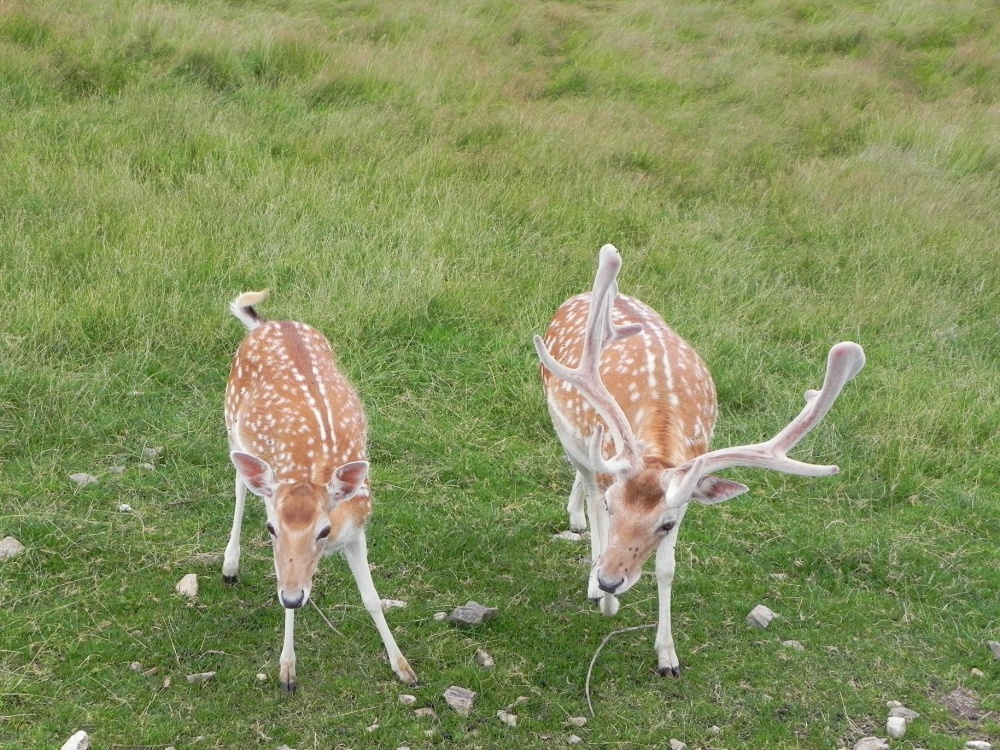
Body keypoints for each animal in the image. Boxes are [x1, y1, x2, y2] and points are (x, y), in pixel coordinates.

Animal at [223, 292, 418, 692]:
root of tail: (266, 324)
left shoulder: (358, 526)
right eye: (271, 529)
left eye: (324, 530)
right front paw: (287, 671)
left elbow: (372, 598)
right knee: (238, 484)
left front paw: (404, 667)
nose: (293, 597)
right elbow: (281, 576)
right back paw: (229, 565)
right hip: (229, 419)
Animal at [536, 244, 864, 680]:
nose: (609, 581)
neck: (659, 439)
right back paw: (580, 525)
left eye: (666, 523)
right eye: (614, 506)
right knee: (583, 480)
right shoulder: (607, 469)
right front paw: (603, 600)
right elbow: (600, 514)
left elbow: (667, 569)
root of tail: (578, 296)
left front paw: (667, 657)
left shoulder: (686, 494)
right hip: (564, 422)